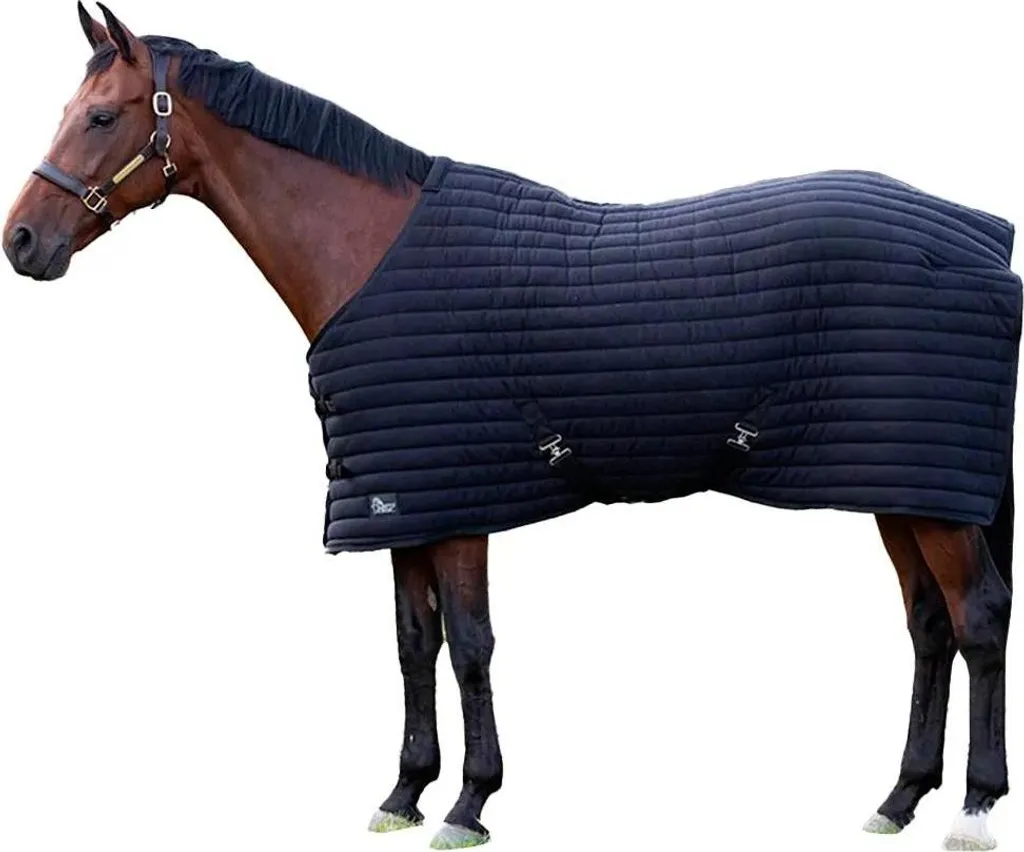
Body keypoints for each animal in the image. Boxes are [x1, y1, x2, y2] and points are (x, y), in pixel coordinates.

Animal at [3, 5, 1018, 850]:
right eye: (68, 109)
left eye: (103, 118)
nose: (21, 243)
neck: (370, 252)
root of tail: (985, 237)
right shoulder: (402, 501)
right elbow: (414, 646)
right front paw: (404, 793)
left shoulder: (461, 503)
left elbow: (471, 645)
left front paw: (469, 803)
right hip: (897, 484)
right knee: (928, 626)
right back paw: (898, 799)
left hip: (930, 496)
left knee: (976, 619)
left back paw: (972, 808)